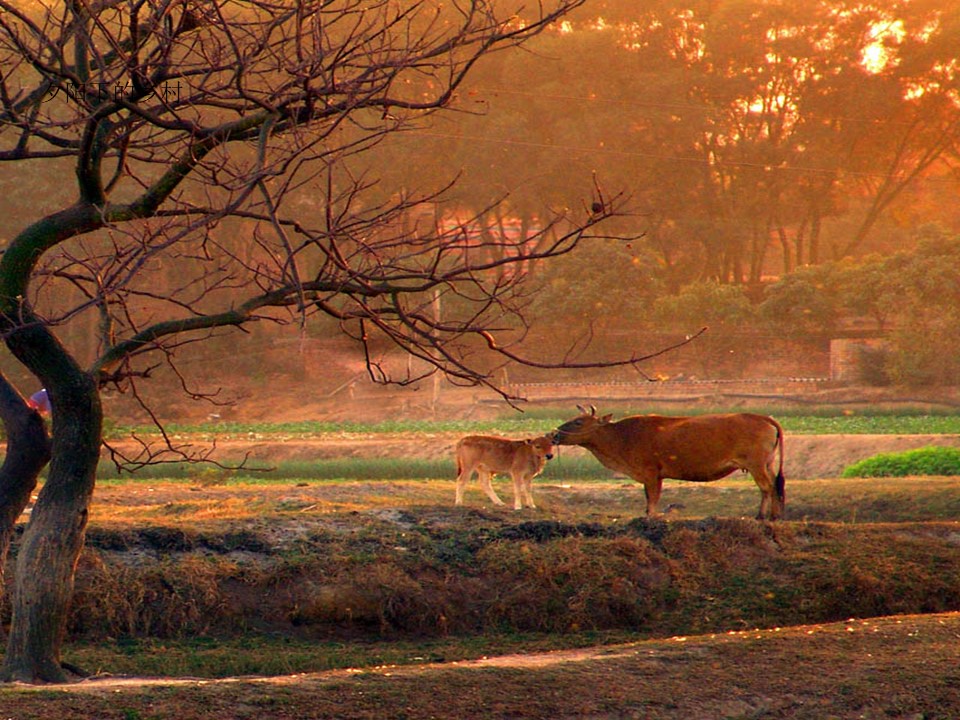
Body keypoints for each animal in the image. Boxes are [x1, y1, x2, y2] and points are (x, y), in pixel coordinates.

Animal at [552, 404, 784, 516]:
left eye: (578, 422)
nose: (553, 434)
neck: (621, 437)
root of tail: (764, 418)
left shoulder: (651, 472)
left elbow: (652, 499)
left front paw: (650, 517)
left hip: (756, 464)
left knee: (767, 487)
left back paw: (763, 515)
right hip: (768, 463)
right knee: (776, 486)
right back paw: (775, 514)